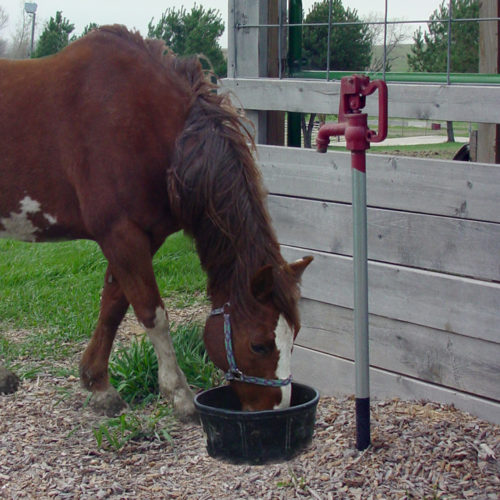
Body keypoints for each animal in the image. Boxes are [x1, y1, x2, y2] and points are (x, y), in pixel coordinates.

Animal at [0, 26, 312, 418]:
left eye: (295, 335)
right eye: (259, 345)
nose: (277, 410)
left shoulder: (143, 237)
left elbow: (113, 306)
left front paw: (97, 384)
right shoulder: (120, 235)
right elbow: (152, 313)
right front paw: (179, 394)